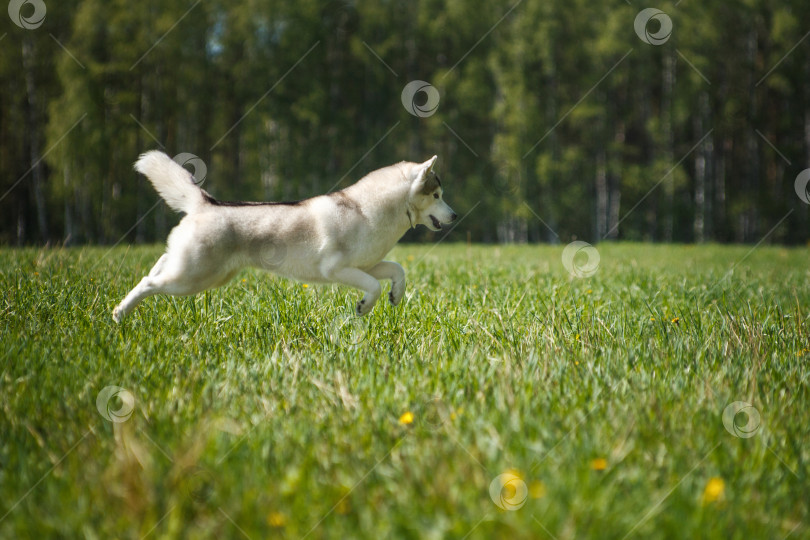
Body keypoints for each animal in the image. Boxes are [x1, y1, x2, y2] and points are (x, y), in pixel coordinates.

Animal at [110, 150, 458, 322]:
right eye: (437, 195)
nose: (455, 216)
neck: (367, 210)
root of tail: (206, 203)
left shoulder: (367, 264)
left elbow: (397, 270)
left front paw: (396, 295)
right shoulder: (337, 269)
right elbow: (372, 286)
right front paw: (364, 307)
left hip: (200, 273)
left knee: (158, 265)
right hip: (192, 278)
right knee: (149, 282)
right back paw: (119, 313)